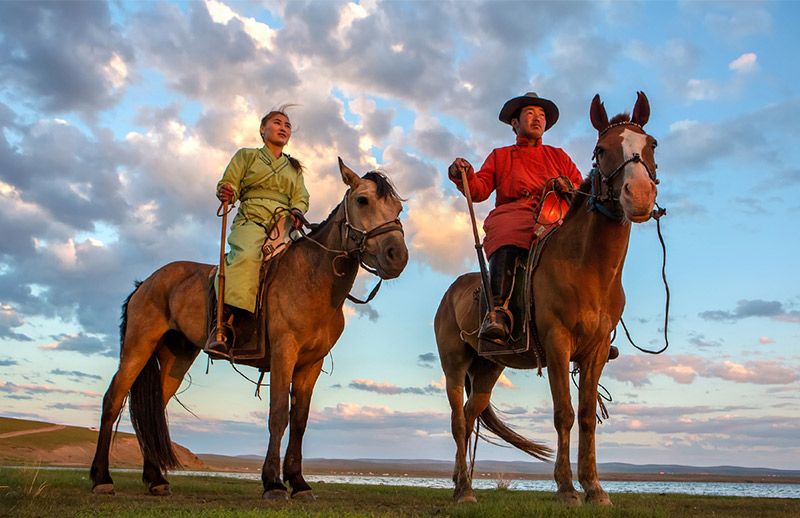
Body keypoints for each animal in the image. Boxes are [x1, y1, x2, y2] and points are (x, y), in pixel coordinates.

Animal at [90, 158, 410, 500]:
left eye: (397, 209)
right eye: (362, 200)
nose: (397, 256)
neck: (315, 280)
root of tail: (146, 283)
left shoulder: (311, 363)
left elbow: (299, 421)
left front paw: (298, 482)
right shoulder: (284, 353)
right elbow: (279, 415)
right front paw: (273, 482)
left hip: (177, 355)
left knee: (153, 409)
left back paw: (156, 479)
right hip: (138, 345)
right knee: (113, 400)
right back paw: (102, 478)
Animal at [434, 92, 660, 508]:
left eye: (651, 144)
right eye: (601, 149)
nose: (638, 195)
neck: (587, 266)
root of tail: (452, 291)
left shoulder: (595, 350)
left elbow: (586, 415)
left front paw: (594, 488)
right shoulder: (558, 342)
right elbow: (564, 414)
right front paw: (567, 488)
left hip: (489, 368)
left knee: (472, 416)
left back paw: (462, 481)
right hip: (454, 365)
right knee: (458, 419)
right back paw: (465, 490)